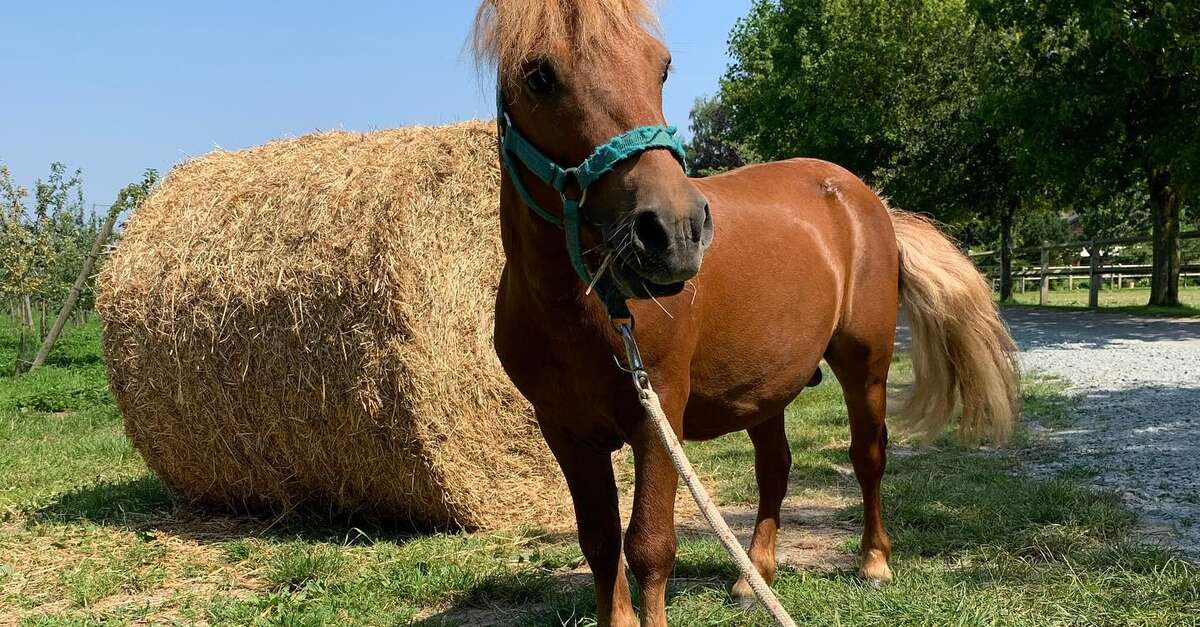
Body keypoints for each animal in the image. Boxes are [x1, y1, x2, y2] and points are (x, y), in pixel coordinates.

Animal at [472, 2, 1017, 619]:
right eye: (539, 76)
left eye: (661, 67)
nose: (675, 230)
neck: (581, 312)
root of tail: (869, 201)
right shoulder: (565, 434)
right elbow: (600, 542)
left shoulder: (659, 413)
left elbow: (649, 547)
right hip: (765, 388)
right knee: (774, 468)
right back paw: (753, 576)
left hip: (866, 366)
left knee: (868, 455)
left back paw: (874, 561)